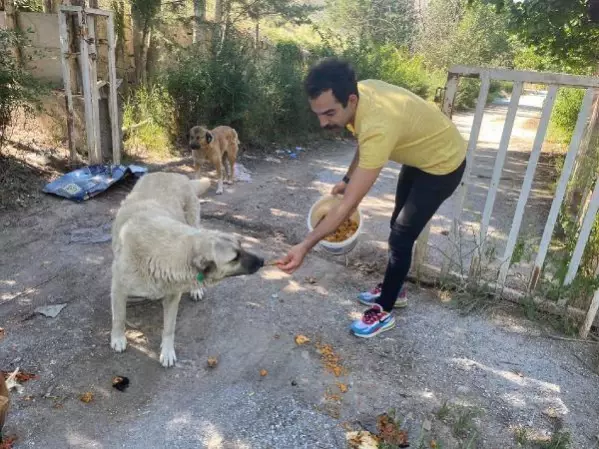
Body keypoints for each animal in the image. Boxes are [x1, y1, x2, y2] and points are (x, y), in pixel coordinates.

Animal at [110, 173, 264, 366]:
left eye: (241, 245)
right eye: (234, 258)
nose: (262, 261)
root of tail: (174, 174)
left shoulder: (172, 296)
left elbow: (169, 327)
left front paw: (167, 351)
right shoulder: (118, 287)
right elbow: (119, 317)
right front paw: (118, 338)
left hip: (193, 221)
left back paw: (195, 289)